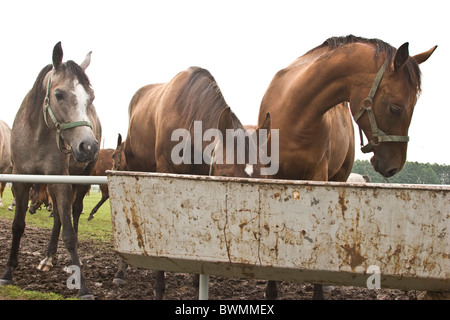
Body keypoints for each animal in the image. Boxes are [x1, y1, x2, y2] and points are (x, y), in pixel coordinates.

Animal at [0, 41, 101, 298]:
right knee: (57, 216)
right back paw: (48, 257)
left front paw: (83, 287)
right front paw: (8, 272)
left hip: (80, 178)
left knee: (72, 213)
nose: (88, 146)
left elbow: (70, 235)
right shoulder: (20, 180)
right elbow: (18, 226)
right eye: (59, 94)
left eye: (91, 97)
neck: (37, 135)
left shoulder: (60, 181)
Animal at [258, 35, 438, 300]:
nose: (394, 167)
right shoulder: (270, 179)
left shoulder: (319, 180)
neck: (294, 115)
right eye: (395, 108)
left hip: (339, 179)